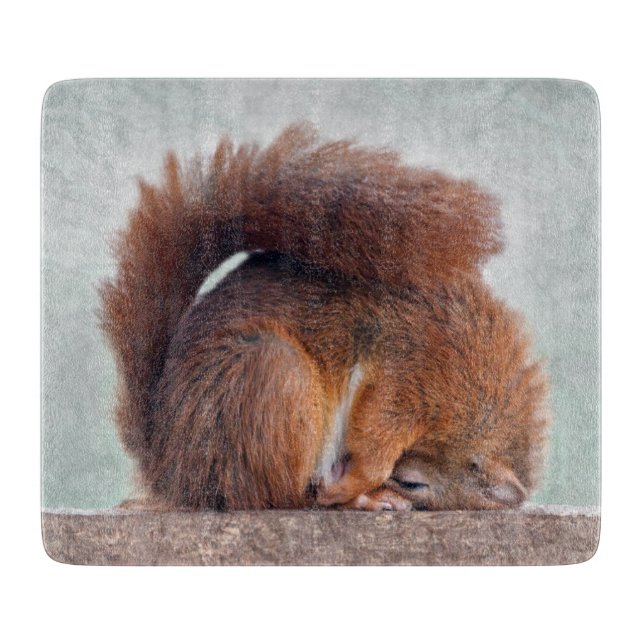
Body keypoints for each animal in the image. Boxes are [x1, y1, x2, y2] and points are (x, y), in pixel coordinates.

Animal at [100, 123, 549, 511]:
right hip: (273, 376)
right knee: (281, 499)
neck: (478, 398)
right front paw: (356, 483)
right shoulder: (411, 371)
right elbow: (377, 433)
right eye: (413, 482)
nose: (399, 486)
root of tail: (173, 473)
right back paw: (354, 498)